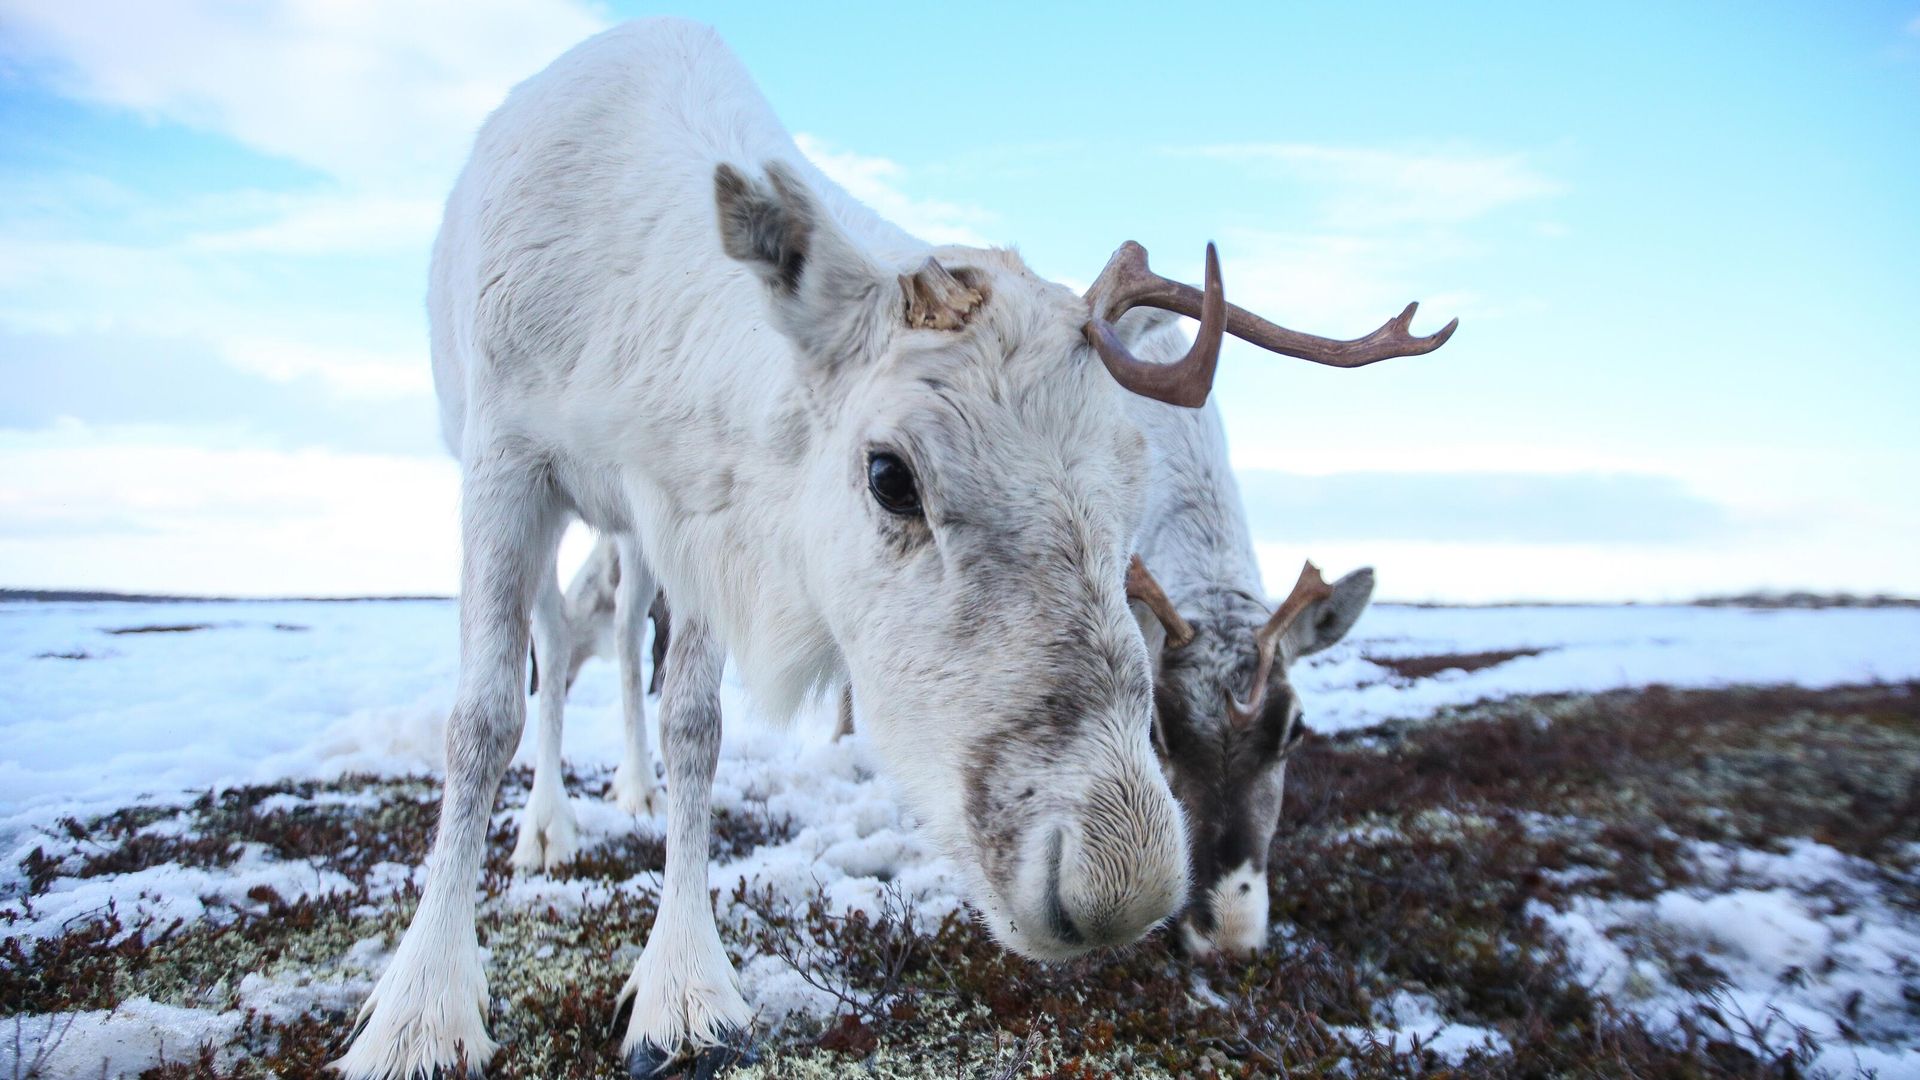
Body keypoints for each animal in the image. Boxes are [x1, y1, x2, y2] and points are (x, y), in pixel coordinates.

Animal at [334, 19, 1452, 1078]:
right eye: (889, 475)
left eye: (1133, 490)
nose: (1120, 888)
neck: (626, 325)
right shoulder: (506, 457)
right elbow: (480, 718)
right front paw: (422, 1012)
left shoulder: (703, 505)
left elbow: (697, 725)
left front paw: (684, 992)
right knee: (556, 649)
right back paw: (551, 828)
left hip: (635, 538)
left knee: (616, 658)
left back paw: (635, 790)